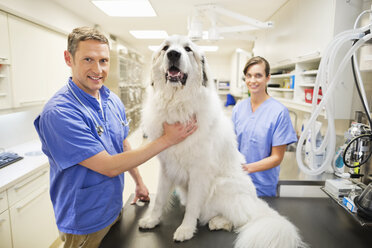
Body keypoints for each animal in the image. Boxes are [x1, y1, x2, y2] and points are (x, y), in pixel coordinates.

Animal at [139, 35, 306, 248]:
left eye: (187, 49)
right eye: (165, 48)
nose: (173, 54)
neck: (178, 104)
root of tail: (255, 203)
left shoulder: (200, 172)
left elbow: (193, 206)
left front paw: (186, 229)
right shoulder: (166, 167)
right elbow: (159, 199)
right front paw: (152, 220)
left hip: (222, 185)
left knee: (241, 218)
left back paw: (218, 221)